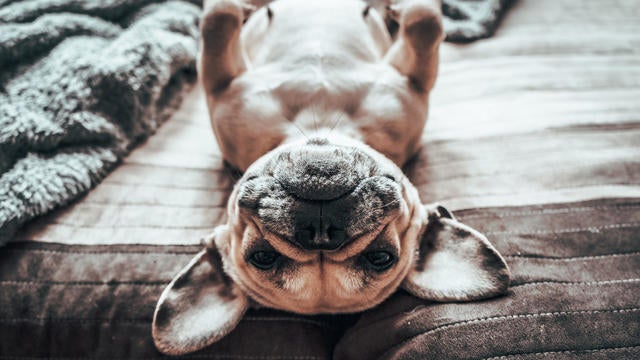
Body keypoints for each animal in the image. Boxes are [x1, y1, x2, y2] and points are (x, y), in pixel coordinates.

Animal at [151, 0, 510, 354]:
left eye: (380, 258)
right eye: (263, 257)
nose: (320, 231)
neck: (319, 120)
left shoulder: (411, 81)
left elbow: (425, 22)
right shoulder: (223, 84)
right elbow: (217, 19)